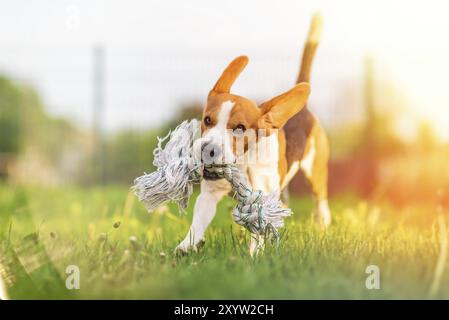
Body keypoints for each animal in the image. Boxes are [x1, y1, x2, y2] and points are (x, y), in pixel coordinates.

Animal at [178, 14, 328, 255]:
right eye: (207, 120)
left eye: (240, 127)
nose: (208, 149)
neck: (242, 163)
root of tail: (304, 110)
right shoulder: (209, 194)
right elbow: (198, 222)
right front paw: (186, 246)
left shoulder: (260, 196)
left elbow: (258, 229)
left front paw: (254, 256)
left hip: (316, 173)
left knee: (321, 202)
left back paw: (323, 224)